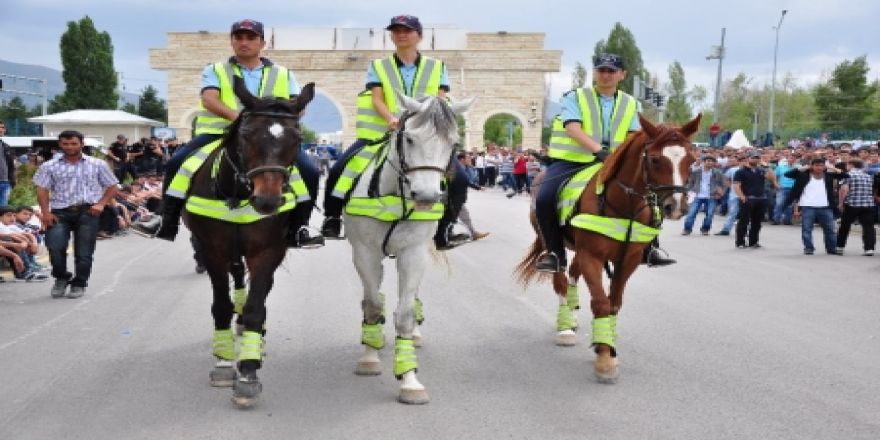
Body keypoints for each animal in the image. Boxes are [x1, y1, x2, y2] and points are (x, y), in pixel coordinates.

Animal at [184, 77, 314, 408]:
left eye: (297, 138)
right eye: (245, 134)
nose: (267, 199)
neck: (238, 193)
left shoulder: (268, 251)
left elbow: (257, 306)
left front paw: (248, 374)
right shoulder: (212, 250)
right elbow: (221, 305)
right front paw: (224, 363)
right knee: (236, 276)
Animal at [348, 91, 474, 404]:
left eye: (453, 143)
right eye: (410, 139)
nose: (427, 195)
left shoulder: (414, 253)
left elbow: (404, 314)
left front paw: (410, 380)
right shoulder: (365, 252)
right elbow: (372, 305)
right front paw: (369, 358)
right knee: (375, 295)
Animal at [512, 115, 696, 384]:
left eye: (692, 159)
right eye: (654, 159)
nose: (677, 207)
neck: (621, 205)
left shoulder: (627, 260)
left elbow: (614, 304)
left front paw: (606, 345)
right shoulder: (592, 257)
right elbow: (600, 303)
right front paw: (605, 360)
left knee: (573, 275)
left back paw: (572, 313)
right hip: (552, 244)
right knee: (560, 279)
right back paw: (565, 327)